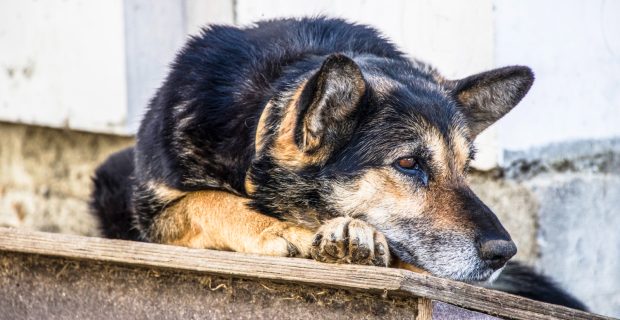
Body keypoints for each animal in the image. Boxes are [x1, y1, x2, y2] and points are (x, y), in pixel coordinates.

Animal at [88, 15, 588, 310]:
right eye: (409, 163)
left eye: (465, 168)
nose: (504, 253)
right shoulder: (146, 208)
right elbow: (204, 201)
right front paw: (277, 228)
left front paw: (355, 235)